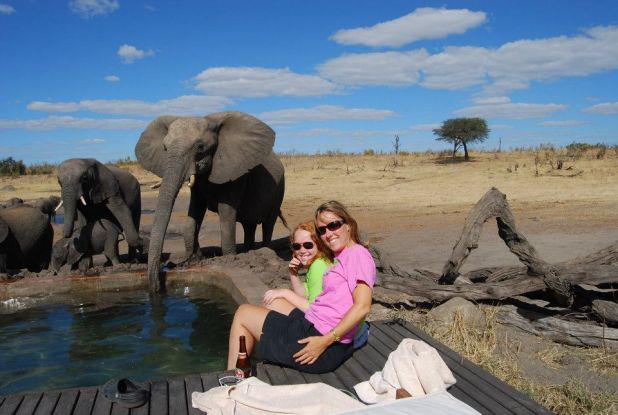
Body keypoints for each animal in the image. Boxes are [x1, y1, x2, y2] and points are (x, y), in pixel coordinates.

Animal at [135, 111, 285, 290]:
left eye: (200, 147)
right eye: (165, 148)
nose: (156, 286)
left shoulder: (235, 171)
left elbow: (226, 212)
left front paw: (229, 258)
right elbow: (195, 209)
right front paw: (195, 257)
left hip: (279, 188)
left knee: (268, 223)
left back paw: (264, 251)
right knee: (249, 225)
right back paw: (249, 252)